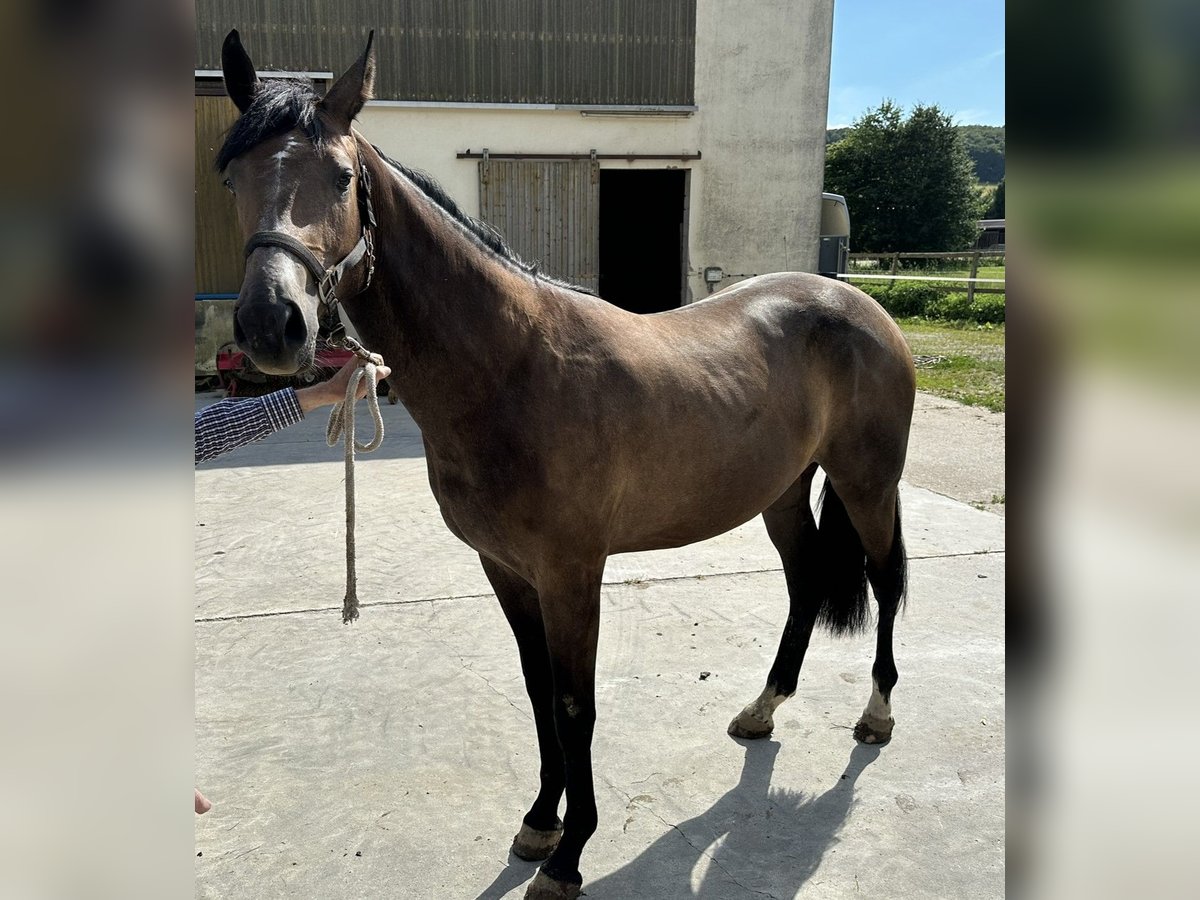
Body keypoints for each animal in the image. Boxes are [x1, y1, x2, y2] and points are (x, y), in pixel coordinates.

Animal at [216, 30, 912, 900]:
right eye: (231, 176)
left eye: (340, 177)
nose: (271, 324)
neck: (509, 367)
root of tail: (860, 305)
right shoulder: (507, 568)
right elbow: (538, 690)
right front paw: (540, 821)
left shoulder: (572, 572)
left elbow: (576, 704)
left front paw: (571, 853)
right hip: (782, 492)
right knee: (807, 581)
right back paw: (763, 709)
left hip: (867, 483)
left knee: (883, 580)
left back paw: (877, 715)